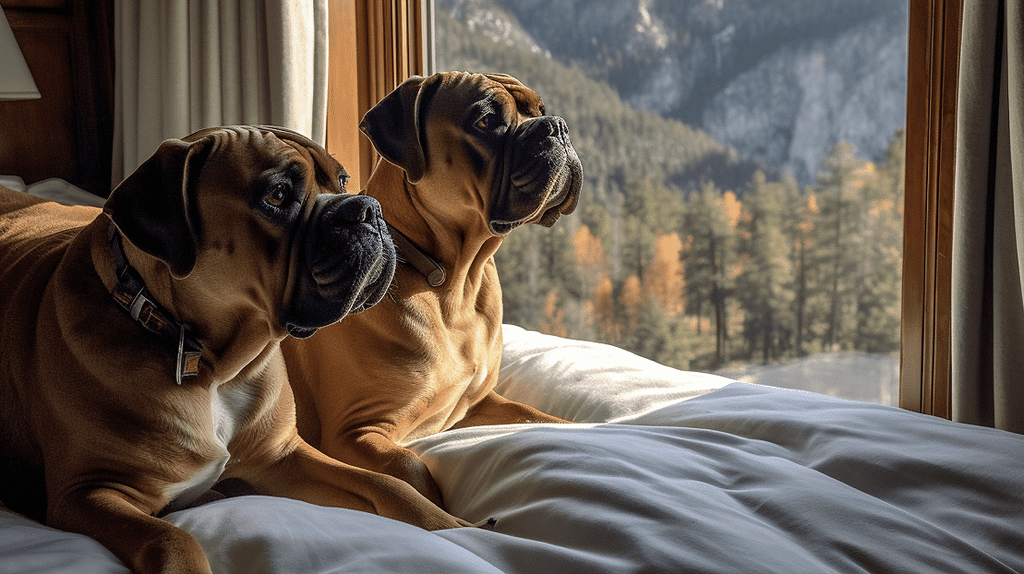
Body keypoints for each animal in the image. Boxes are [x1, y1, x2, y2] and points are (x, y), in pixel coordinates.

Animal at [0, 125, 468, 572]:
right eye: (277, 195)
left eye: (342, 180)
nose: (368, 208)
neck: (210, 366)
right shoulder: (88, 493)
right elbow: (169, 539)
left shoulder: (282, 457)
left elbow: (387, 484)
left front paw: (456, 527)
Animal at [280, 72, 585, 505]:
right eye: (486, 121)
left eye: (539, 109)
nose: (556, 126)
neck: (454, 283)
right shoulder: (353, 434)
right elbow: (411, 466)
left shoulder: (478, 403)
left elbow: (541, 417)